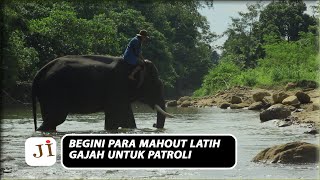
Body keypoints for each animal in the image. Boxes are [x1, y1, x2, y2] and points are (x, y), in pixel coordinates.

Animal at [31, 54, 174, 131]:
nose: (154, 125)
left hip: (46, 94)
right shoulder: (117, 87)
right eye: (155, 85)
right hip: (53, 90)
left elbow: (125, 119)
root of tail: (38, 74)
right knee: (55, 118)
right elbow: (117, 118)